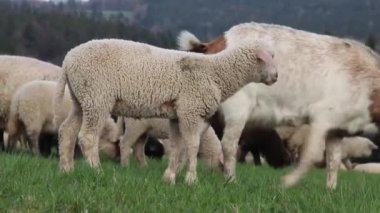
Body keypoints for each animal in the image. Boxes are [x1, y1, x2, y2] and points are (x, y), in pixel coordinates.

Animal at [55, 37, 278, 185]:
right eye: (268, 57)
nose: (276, 77)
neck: (216, 74)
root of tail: (68, 60)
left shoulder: (178, 116)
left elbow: (178, 147)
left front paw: (169, 177)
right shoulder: (191, 110)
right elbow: (193, 146)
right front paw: (191, 179)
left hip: (81, 100)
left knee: (67, 131)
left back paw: (67, 169)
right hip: (97, 97)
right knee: (87, 137)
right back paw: (96, 171)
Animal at [180, 21, 380, 188]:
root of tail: (215, 43)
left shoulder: (337, 129)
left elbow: (333, 161)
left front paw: (330, 190)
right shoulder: (322, 118)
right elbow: (310, 155)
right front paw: (288, 182)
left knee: (191, 142)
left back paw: (188, 179)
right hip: (237, 110)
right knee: (229, 145)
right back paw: (230, 181)